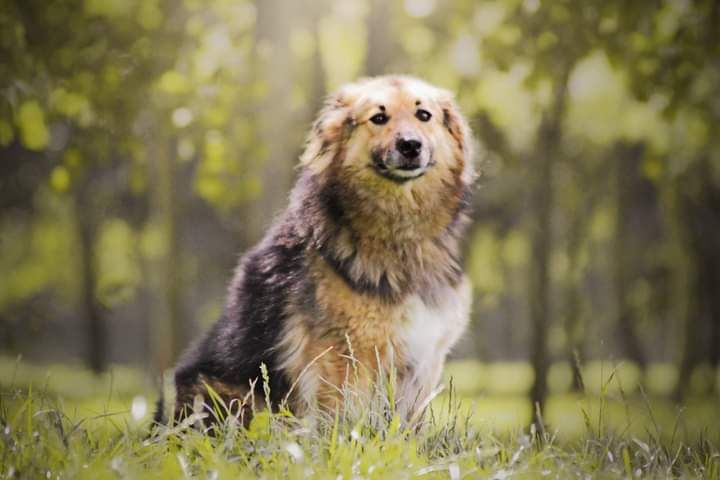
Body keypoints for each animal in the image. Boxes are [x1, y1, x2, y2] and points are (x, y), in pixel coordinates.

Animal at [164, 74, 478, 424]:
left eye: (424, 115)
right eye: (378, 118)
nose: (410, 145)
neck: (399, 237)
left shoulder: (425, 358)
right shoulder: (342, 352)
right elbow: (345, 418)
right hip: (220, 392)